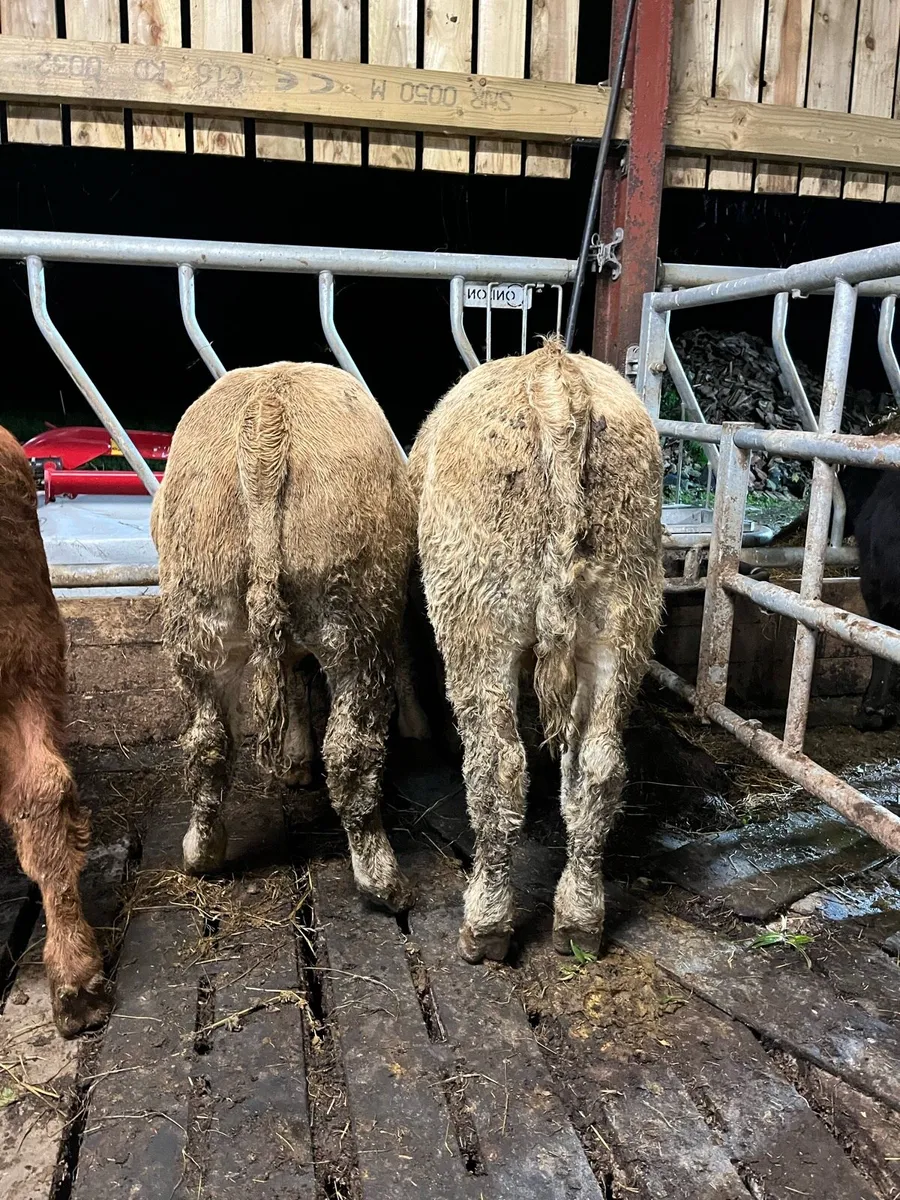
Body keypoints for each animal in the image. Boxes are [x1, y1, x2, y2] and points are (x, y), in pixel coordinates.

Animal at [151, 362, 417, 911]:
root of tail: (267, 410)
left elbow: (294, 681)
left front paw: (295, 762)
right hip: (355, 615)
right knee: (351, 750)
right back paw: (384, 881)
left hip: (198, 614)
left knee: (207, 742)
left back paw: (202, 852)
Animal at [409, 339, 664, 963]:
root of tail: (554, 377)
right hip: (623, 617)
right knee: (598, 766)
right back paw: (580, 920)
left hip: (477, 618)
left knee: (496, 767)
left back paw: (486, 925)